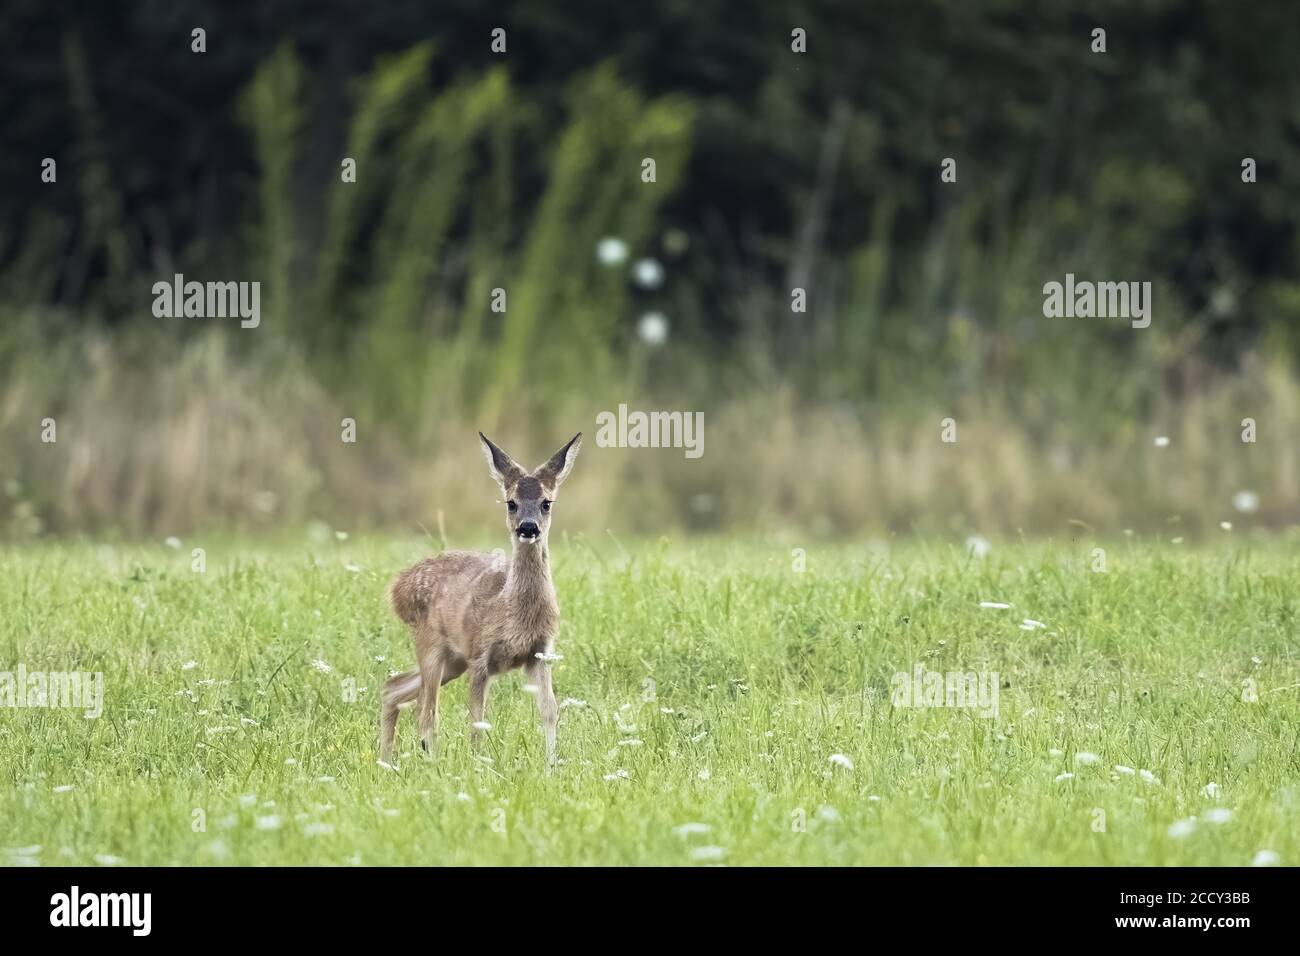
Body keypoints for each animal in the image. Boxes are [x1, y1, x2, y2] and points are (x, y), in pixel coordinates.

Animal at [377, 429, 579, 764]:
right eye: (511, 503)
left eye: (546, 503)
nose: (528, 527)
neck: (512, 613)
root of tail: (397, 588)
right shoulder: (480, 654)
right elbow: (477, 719)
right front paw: (478, 765)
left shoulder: (540, 653)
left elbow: (549, 711)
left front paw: (551, 766)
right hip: (432, 645)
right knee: (426, 713)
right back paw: (428, 764)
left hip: (453, 661)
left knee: (393, 687)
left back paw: (386, 762)